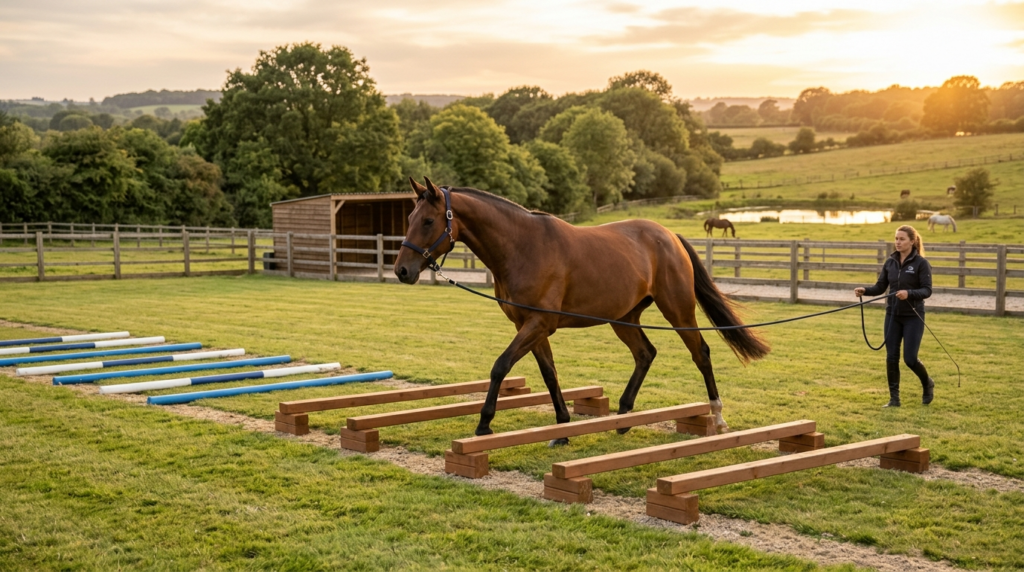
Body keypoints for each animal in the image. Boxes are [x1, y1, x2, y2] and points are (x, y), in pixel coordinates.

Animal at [395, 178, 770, 439]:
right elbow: (549, 373)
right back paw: (623, 417)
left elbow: (500, 366)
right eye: (409, 217)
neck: (523, 246)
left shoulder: (538, 324)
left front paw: (484, 424)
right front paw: (562, 429)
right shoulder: (529, 326)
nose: (402, 270)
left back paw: (717, 417)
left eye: (428, 221)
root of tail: (669, 236)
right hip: (624, 318)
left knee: (701, 354)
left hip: (677, 311)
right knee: (645, 354)